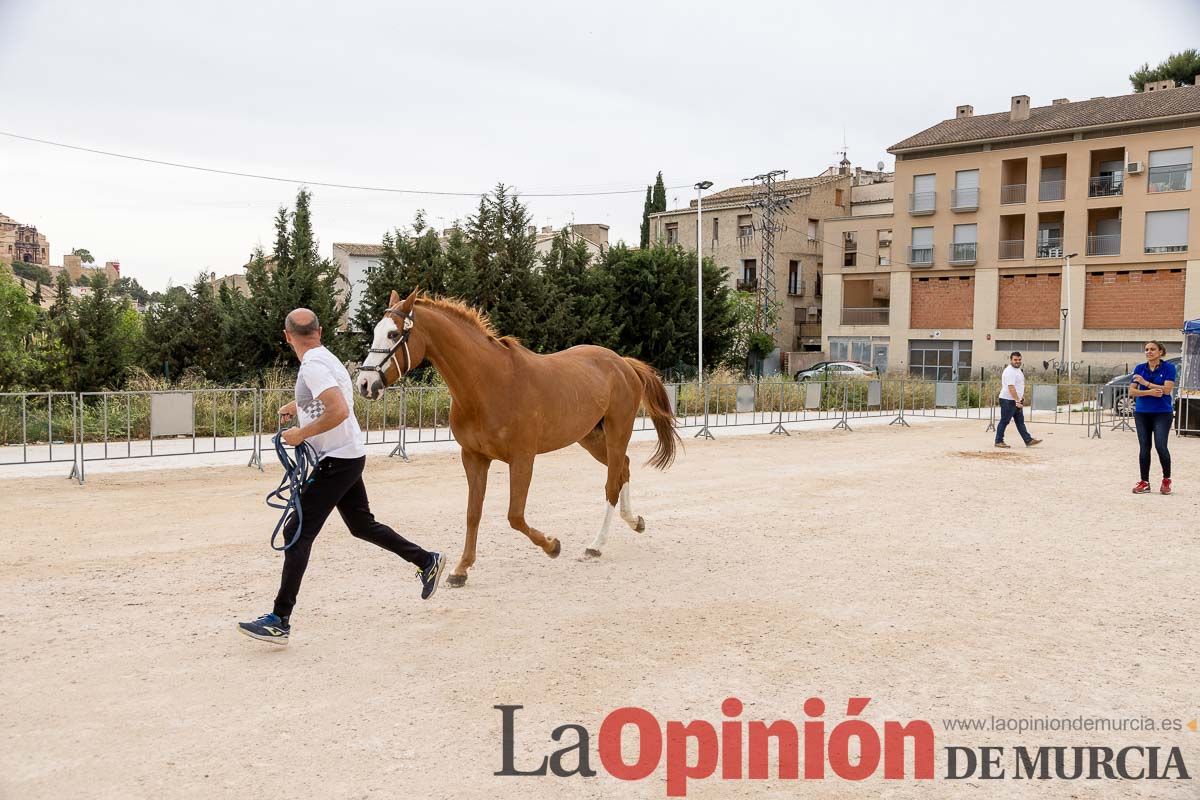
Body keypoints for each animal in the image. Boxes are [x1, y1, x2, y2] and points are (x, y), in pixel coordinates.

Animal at [352, 289, 676, 587]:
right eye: (376, 331)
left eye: (394, 333)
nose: (365, 383)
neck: (487, 384)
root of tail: (622, 363)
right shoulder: (474, 458)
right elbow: (473, 513)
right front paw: (460, 570)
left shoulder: (522, 459)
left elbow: (515, 516)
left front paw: (552, 546)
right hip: (590, 438)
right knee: (624, 468)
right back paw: (635, 522)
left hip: (617, 432)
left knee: (611, 483)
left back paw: (595, 545)